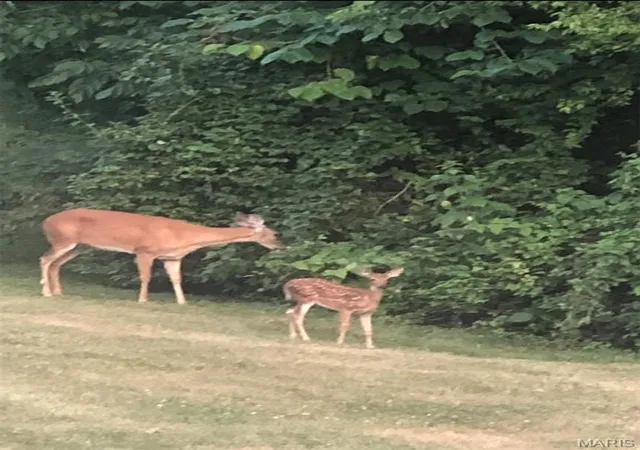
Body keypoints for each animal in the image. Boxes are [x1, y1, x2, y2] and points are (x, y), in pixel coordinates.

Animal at [39, 208, 284, 304]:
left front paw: (183, 302)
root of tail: (46, 221)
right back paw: (46, 292)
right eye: (274, 233)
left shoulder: (172, 257)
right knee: (45, 259)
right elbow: (145, 277)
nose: (280, 246)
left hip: (79, 246)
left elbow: (176, 279)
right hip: (63, 240)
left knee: (55, 264)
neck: (185, 236)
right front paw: (142, 300)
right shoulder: (145, 251)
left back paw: (58, 292)